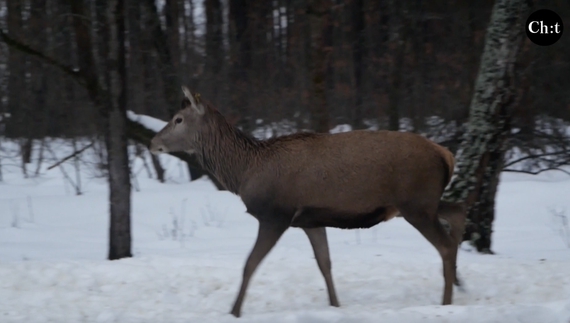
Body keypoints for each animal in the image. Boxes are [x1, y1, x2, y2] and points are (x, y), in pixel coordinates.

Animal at [150, 86, 466, 318]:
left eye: (178, 119)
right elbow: (325, 263)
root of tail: (446, 154)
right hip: (421, 203)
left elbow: (250, 263)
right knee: (457, 213)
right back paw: (459, 283)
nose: (153, 142)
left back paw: (446, 300)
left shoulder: (275, 215)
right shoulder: (310, 220)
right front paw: (335, 305)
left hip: (415, 203)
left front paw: (234, 311)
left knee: (445, 245)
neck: (243, 172)